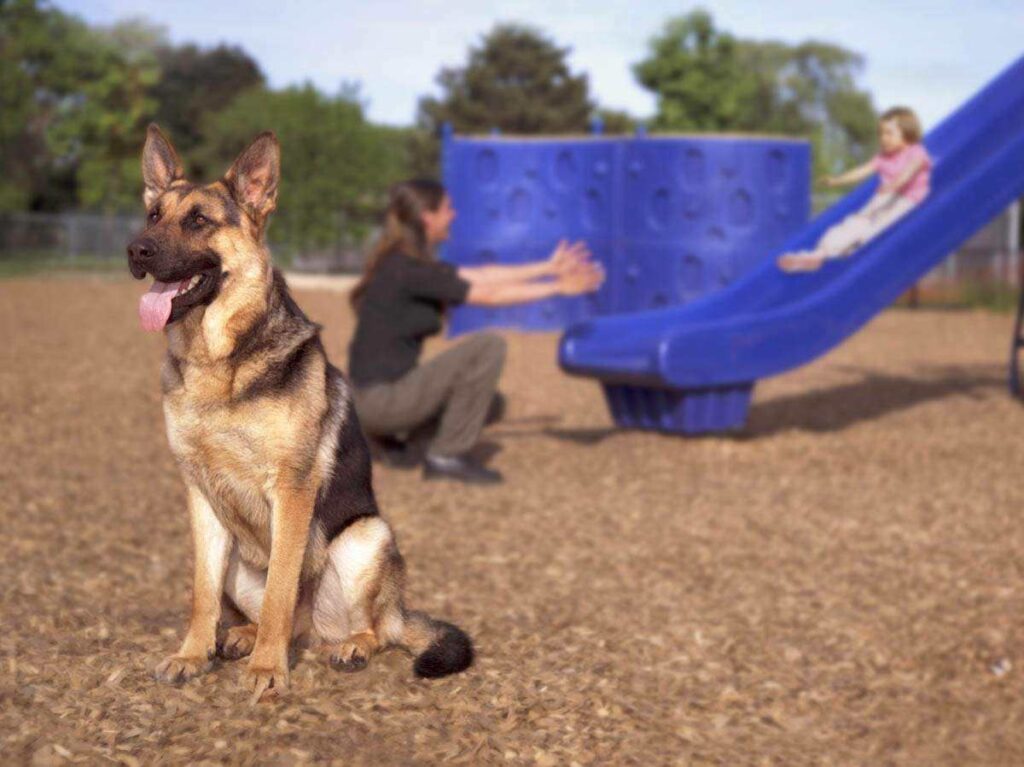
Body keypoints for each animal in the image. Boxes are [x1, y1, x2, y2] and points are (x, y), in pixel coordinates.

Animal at [125, 125, 473, 700]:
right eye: (154, 215)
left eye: (198, 220)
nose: (136, 249)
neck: (219, 363)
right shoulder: (200, 495)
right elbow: (202, 592)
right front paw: (193, 655)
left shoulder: (291, 490)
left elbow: (280, 591)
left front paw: (267, 669)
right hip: (241, 559)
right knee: (279, 617)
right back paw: (241, 635)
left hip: (365, 538)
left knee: (374, 628)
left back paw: (348, 646)